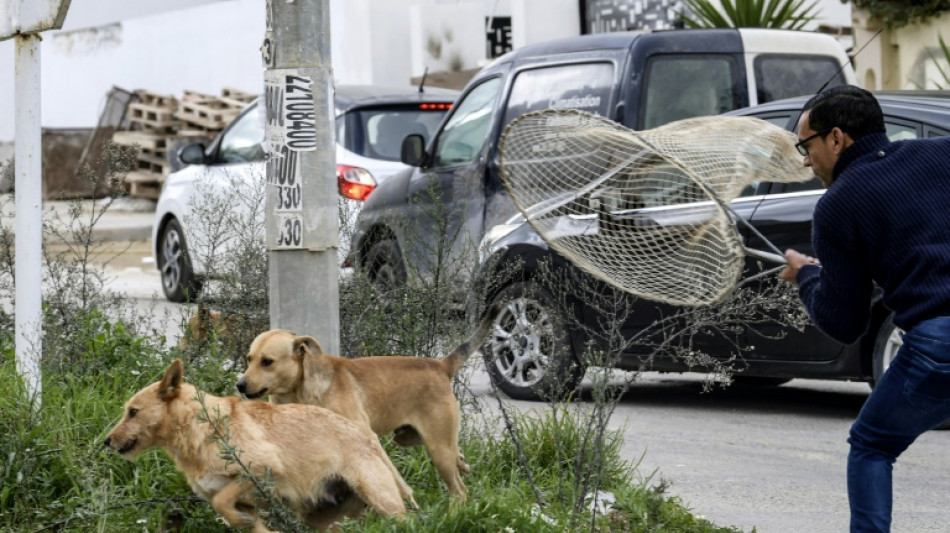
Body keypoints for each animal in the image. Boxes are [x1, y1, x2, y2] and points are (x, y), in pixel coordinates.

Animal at [105, 360, 416, 528]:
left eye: (133, 412)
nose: (106, 442)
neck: (202, 428)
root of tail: (366, 436)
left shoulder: (261, 470)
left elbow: (222, 501)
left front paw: (235, 519)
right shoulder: (250, 508)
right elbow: (230, 509)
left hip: (384, 503)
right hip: (325, 521)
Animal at [236, 302, 506, 500]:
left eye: (267, 361)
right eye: (249, 358)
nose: (240, 385)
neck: (301, 391)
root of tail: (441, 365)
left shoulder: (366, 437)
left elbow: (392, 479)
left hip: (437, 448)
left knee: (458, 490)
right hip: (417, 439)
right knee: (459, 460)